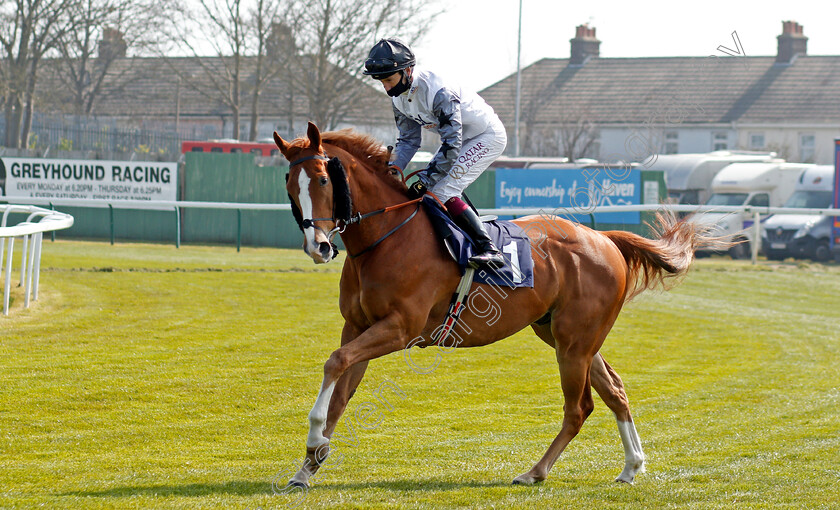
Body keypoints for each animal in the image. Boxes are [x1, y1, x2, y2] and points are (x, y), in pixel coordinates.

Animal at [276, 121, 720, 488]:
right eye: (289, 183)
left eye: (321, 180)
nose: (319, 246)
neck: (386, 237)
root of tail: (606, 239)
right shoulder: (357, 326)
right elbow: (340, 390)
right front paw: (307, 467)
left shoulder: (400, 328)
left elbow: (334, 362)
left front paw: (313, 439)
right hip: (565, 336)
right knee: (615, 391)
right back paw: (631, 466)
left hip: (574, 343)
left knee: (578, 409)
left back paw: (535, 471)